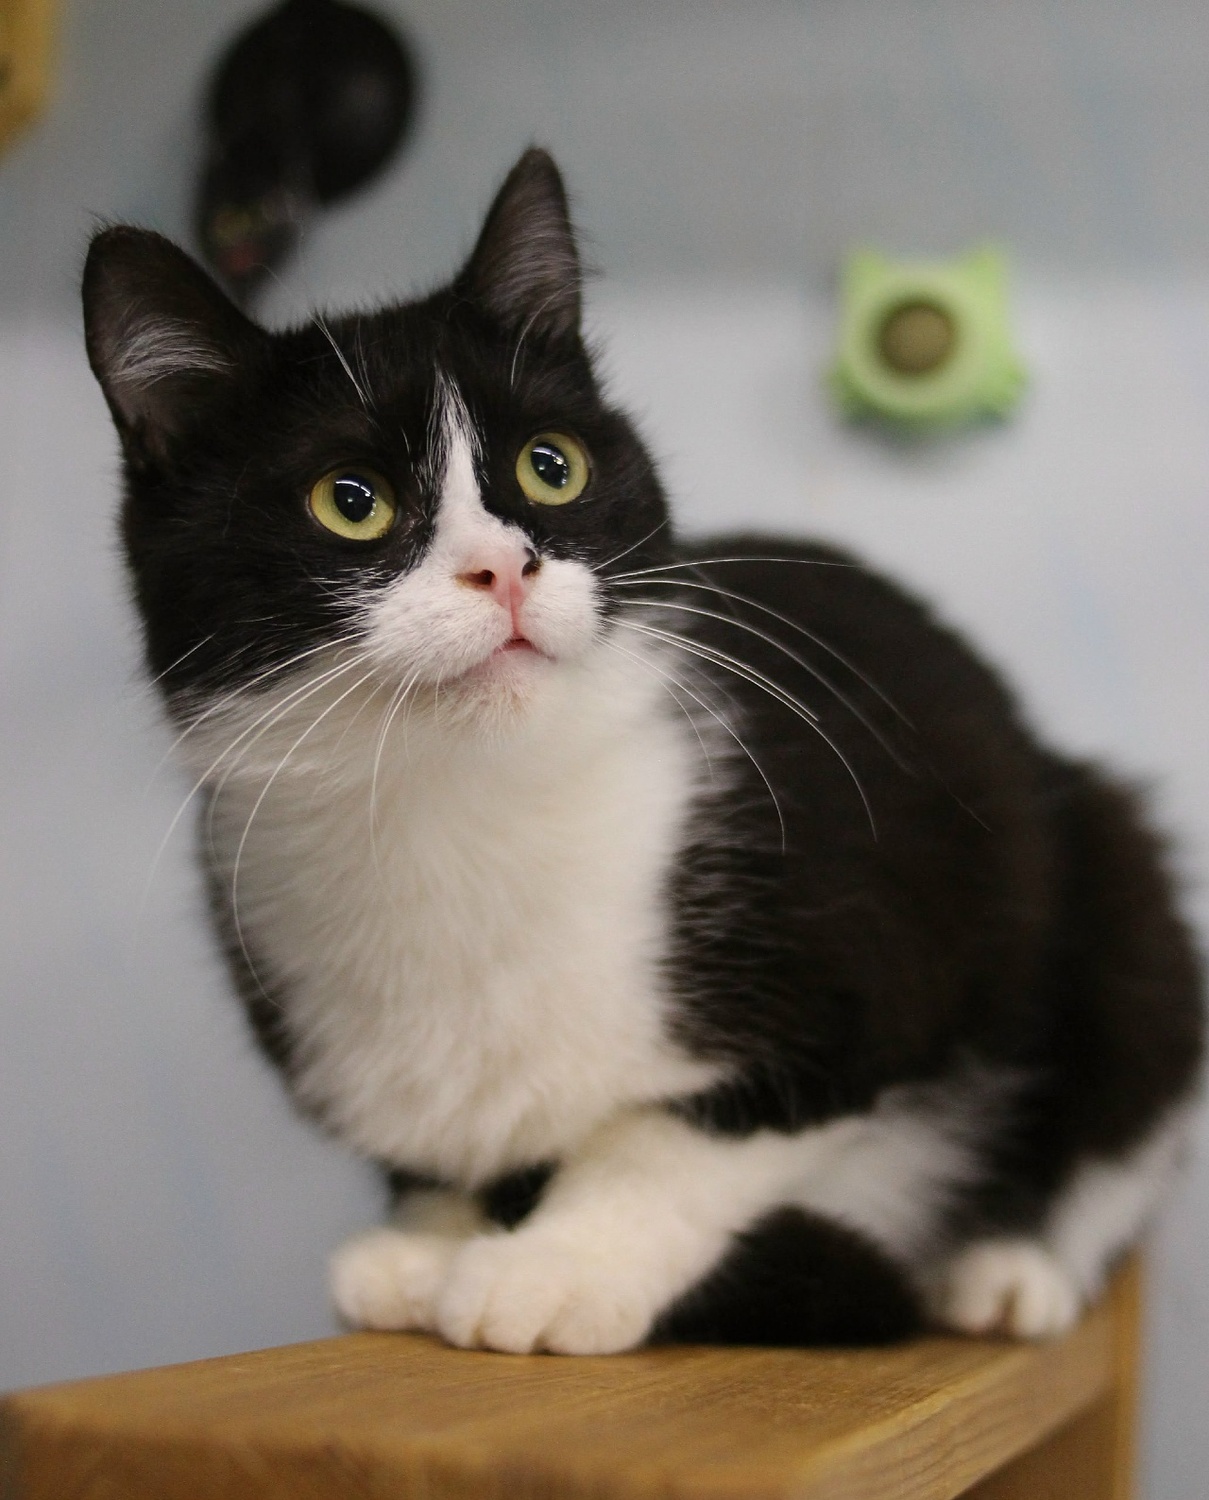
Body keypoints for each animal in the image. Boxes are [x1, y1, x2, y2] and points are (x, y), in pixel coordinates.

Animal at [82, 148, 1203, 1354]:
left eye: (552, 464)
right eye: (350, 501)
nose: (503, 568)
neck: (461, 808)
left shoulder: (877, 955)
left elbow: (676, 1140)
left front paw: (556, 1266)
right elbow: (444, 1146)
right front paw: (428, 1243)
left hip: (1097, 863)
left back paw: (1008, 1268)